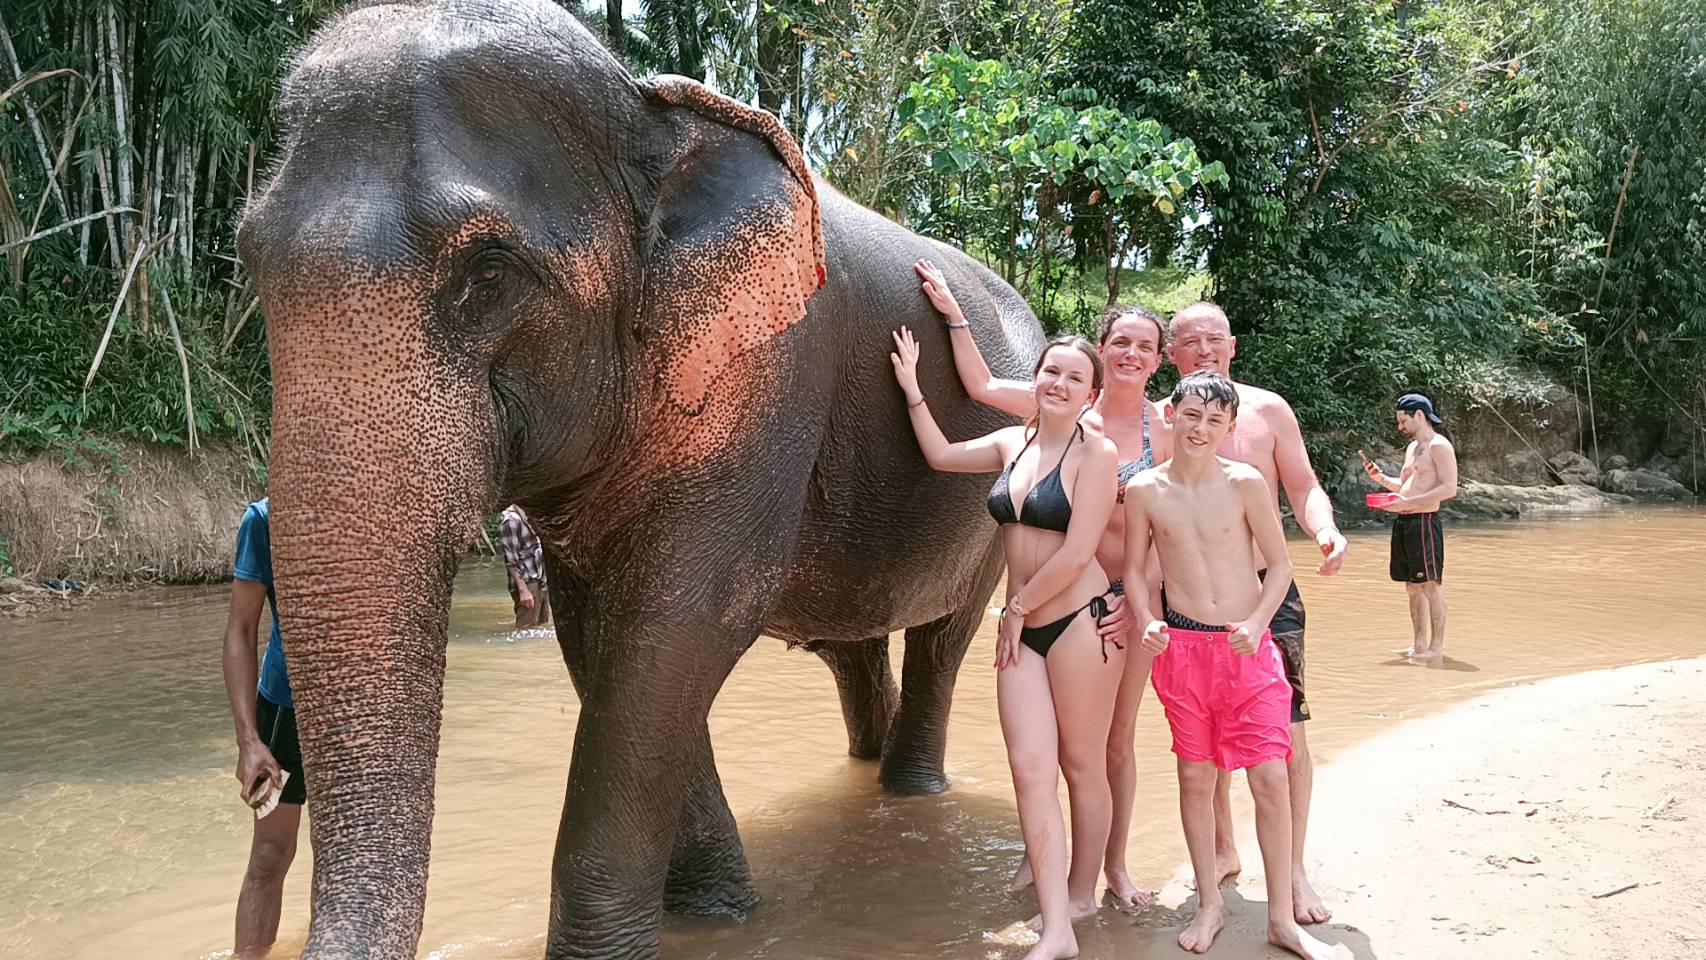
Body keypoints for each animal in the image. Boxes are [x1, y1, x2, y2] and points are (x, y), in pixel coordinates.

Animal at [236, 0, 1045, 957]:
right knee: (856, 647)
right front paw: (718, 905)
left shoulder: (773, 377)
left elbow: (679, 621)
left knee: (941, 644)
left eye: (489, 273)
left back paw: (909, 790)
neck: (650, 108)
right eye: (248, 262)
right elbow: (606, 637)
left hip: (994, 511)